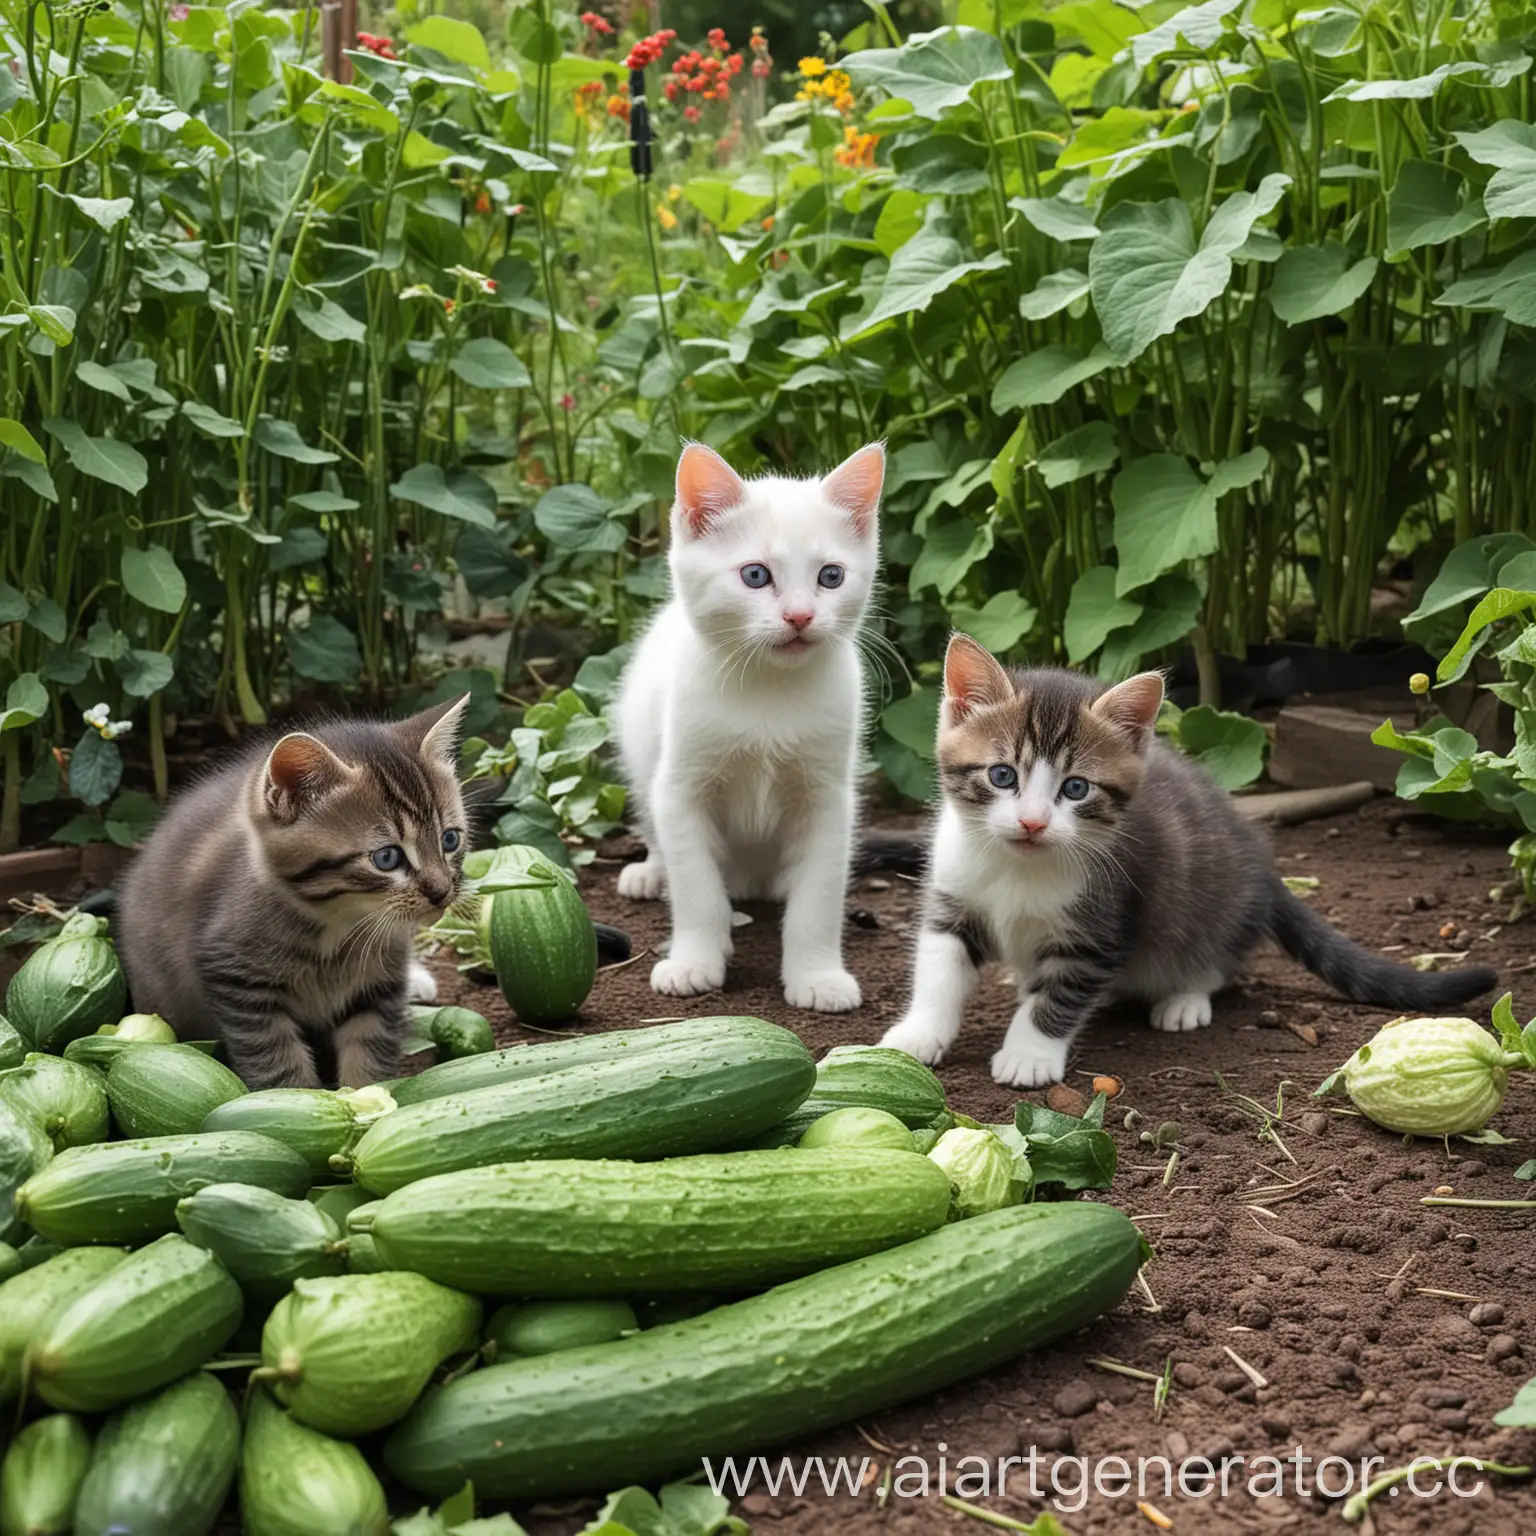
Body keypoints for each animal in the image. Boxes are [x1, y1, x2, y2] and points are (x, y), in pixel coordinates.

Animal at [116, 697, 466, 1093]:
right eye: (387, 858)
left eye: (449, 839)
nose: (442, 891)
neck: (337, 928)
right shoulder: (237, 981)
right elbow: (277, 1064)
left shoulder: (379, 984)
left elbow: (370, 1046)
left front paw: (369, 1093)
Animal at [605, 439, 884, 1007]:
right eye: (755, 575)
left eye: (831, 576)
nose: (800, 617)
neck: (768, 693)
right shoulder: (681, 789)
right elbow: (696, 888)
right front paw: (693, 961)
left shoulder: (829, 798)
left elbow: (819, 894)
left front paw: (818, 976)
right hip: (640, 753)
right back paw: (650, 873)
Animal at [884, 635, 1492, 1093]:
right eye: (1002, 775)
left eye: (1075, 788)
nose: (1032, 823)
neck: (1019, 866)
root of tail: (1260, 862)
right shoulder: (953, 899)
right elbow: (939, 970)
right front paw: (918, 1035)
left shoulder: (1104, 923)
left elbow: (1062, 993)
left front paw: (1030, 1054)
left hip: (1210, 904)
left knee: (1215, 955)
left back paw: (1184, 998)